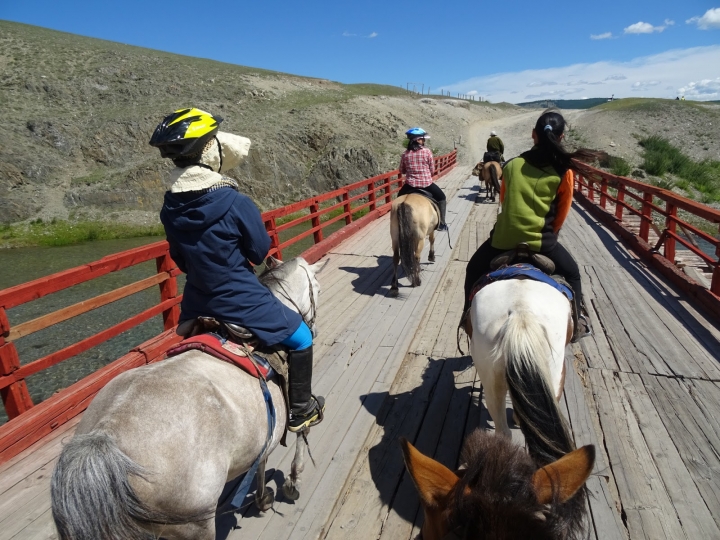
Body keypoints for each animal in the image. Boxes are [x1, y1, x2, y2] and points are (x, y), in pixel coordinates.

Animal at [52, 256, 328, 540]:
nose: (314, 330)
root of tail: (105, 436)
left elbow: (261, 460)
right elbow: (299, 432)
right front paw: (292, 482)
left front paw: (263, 498)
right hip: (195, 524)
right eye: (317, 289)